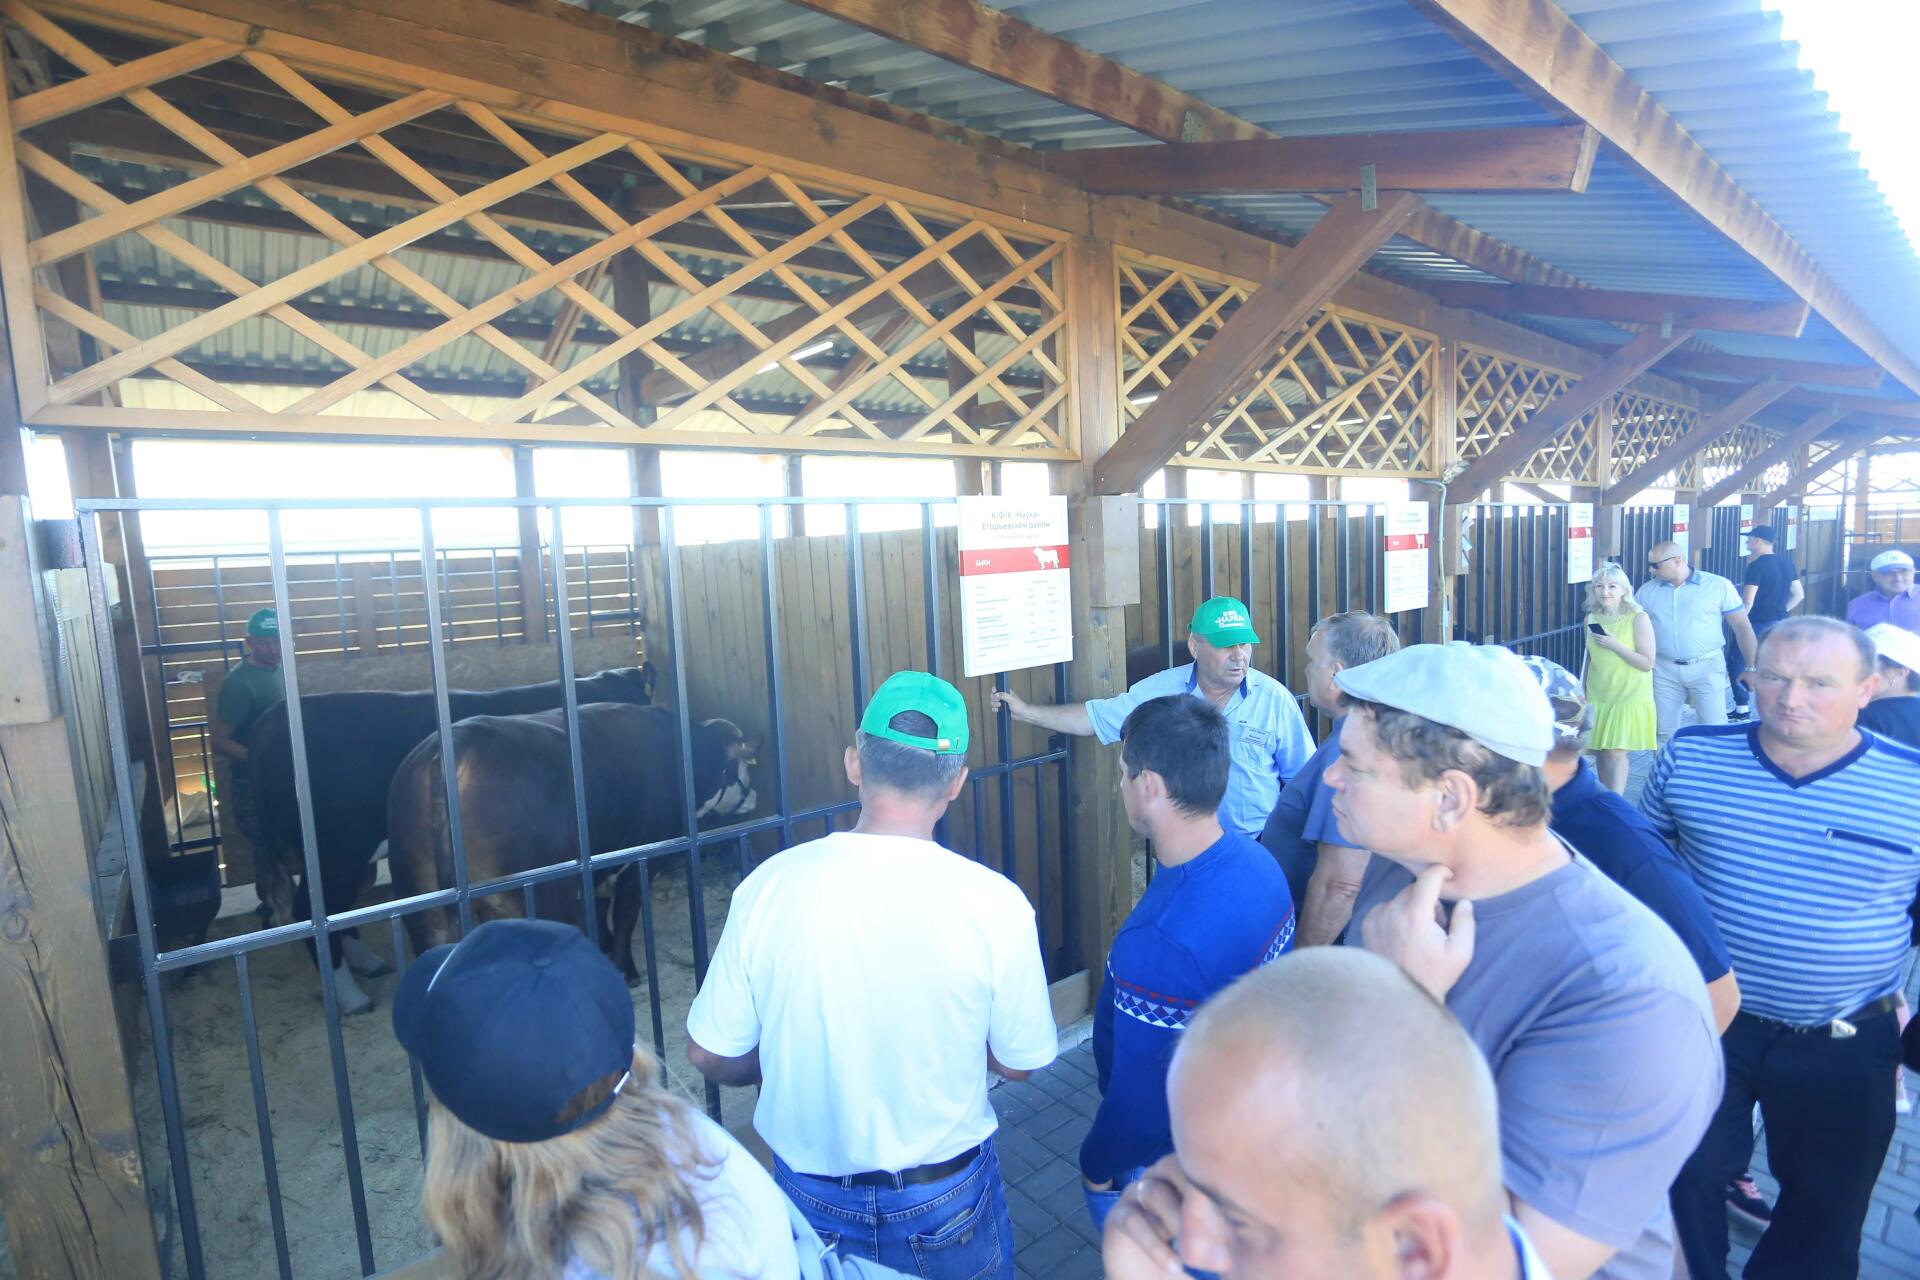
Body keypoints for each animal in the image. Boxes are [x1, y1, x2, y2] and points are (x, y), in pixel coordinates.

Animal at [386, 703, 756, 999]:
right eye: (743, 767)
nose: (753, 796)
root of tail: (457, 743)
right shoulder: (640, 859)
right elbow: (624, 916)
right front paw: (627, 969)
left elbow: (601, 907)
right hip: (542, 897)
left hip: (425, 914)